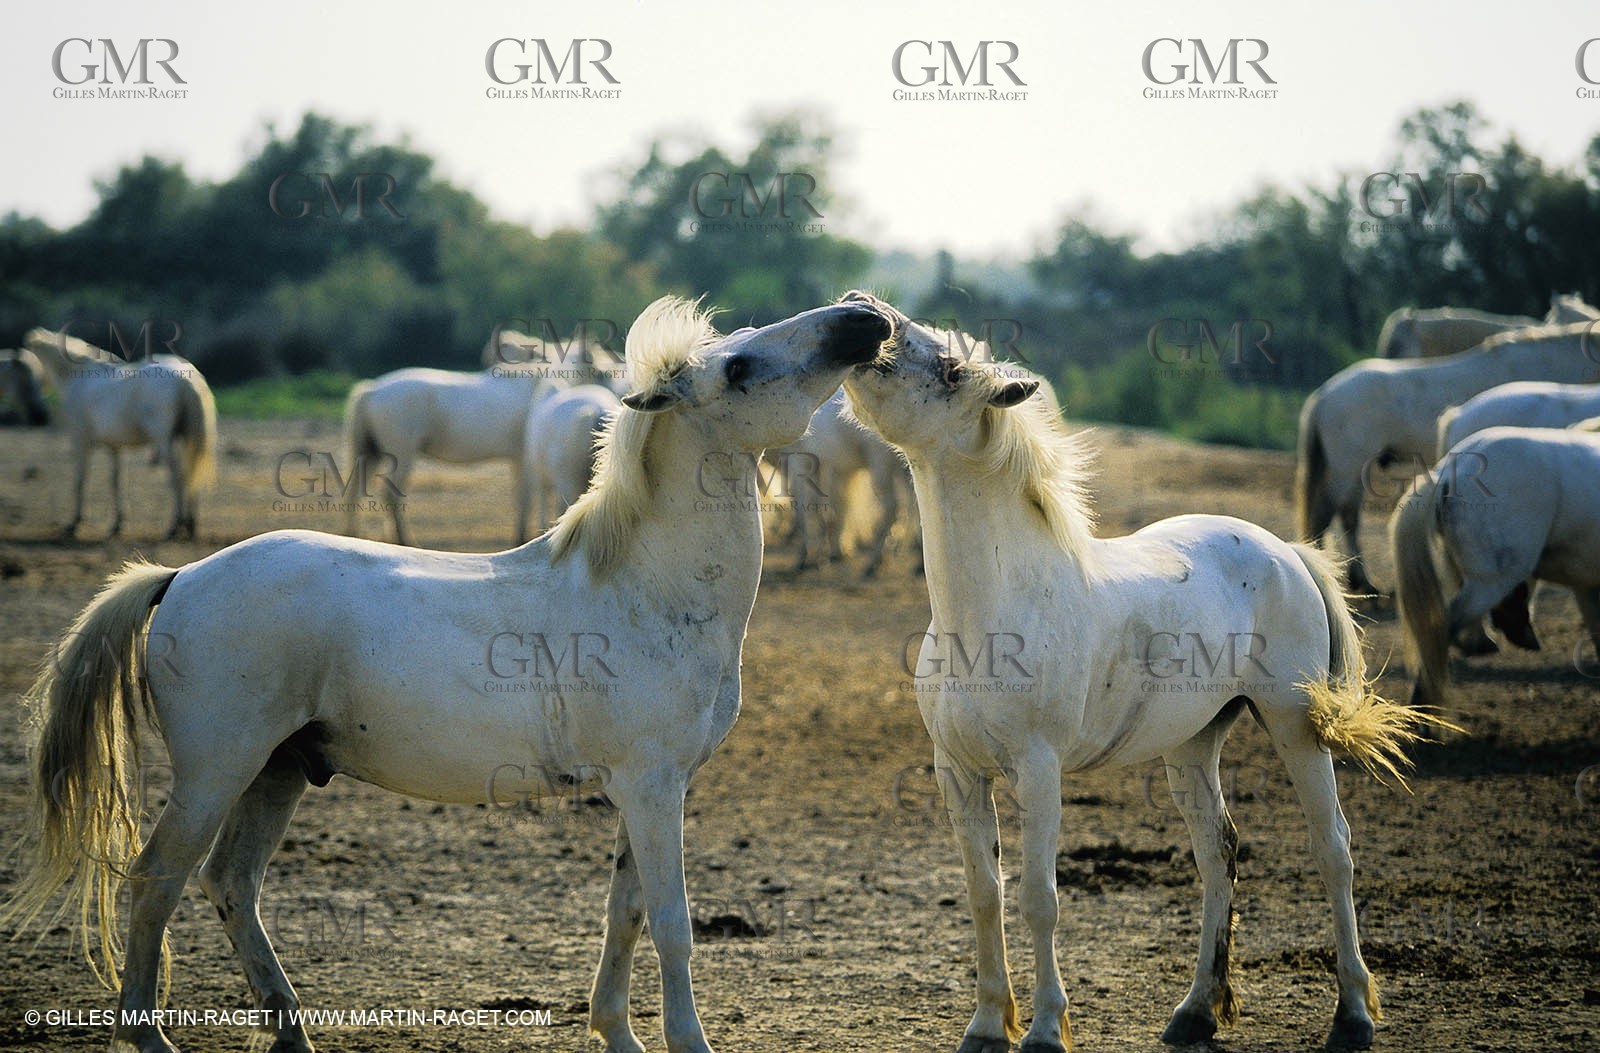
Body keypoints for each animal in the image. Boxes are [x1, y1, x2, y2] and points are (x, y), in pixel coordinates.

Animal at [23, 329, 216, 539]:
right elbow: (116, 482)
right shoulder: (114, 447)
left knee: (177, 475)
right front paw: (117, 524)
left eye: (30, 368)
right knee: (190, 472)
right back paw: (191, 525)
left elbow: (81, 480)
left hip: (164, 441)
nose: (38, 412)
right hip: (186, 438)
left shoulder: (81, 442)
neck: (79, 378)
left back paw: (175, 526)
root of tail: (188, 379)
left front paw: (75, 523)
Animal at [342, 366, 559, 546]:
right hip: (401, 455)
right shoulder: (524, 459)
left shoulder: (517, 460)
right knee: (391, 495)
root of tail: (373, 390)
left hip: (371, 454)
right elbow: (525, 498)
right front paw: (521, 539)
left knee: (355, 491)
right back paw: (405, 541)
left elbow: (521, 497)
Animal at [837, 291, 1447, 1052]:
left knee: (1332, 849)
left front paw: (1045, 1027)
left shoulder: (1037, 768)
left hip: (1295, 729)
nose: (863, 309)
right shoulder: (958, 769)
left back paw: (1353, 1015)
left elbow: (1038, 897)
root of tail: (1288, 552)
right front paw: (985, 1025)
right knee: (1218, 853)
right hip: (1192, 744)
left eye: (950, 369)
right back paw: (1194, 1012)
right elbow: (985, 894)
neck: (992, 609)